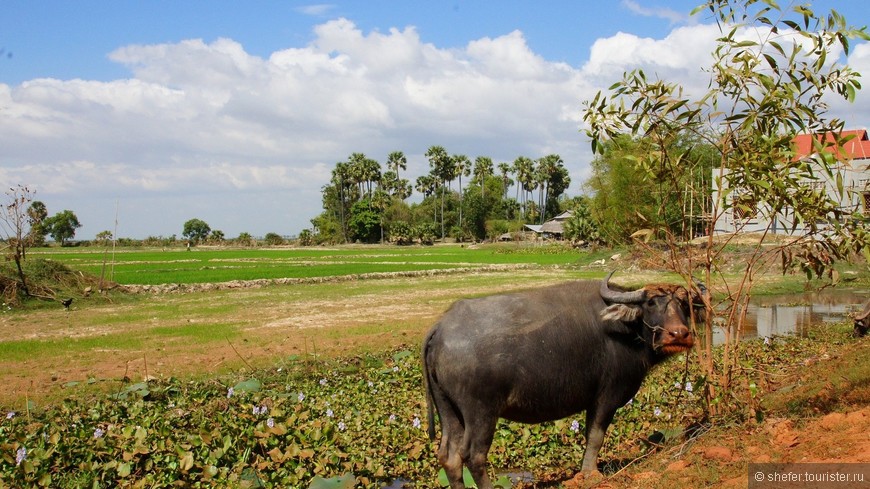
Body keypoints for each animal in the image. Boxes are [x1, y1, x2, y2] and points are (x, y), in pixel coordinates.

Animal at [422, 272, 700, 486]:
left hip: (449, 409)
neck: (625, 331)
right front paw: (590, 474)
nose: (679, 334)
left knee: (449, 456)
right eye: (651, 304)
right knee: (474, 455)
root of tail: (441, 328)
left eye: (683, 305)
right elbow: (596, 436)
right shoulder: (607, 396)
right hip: (481, 412)